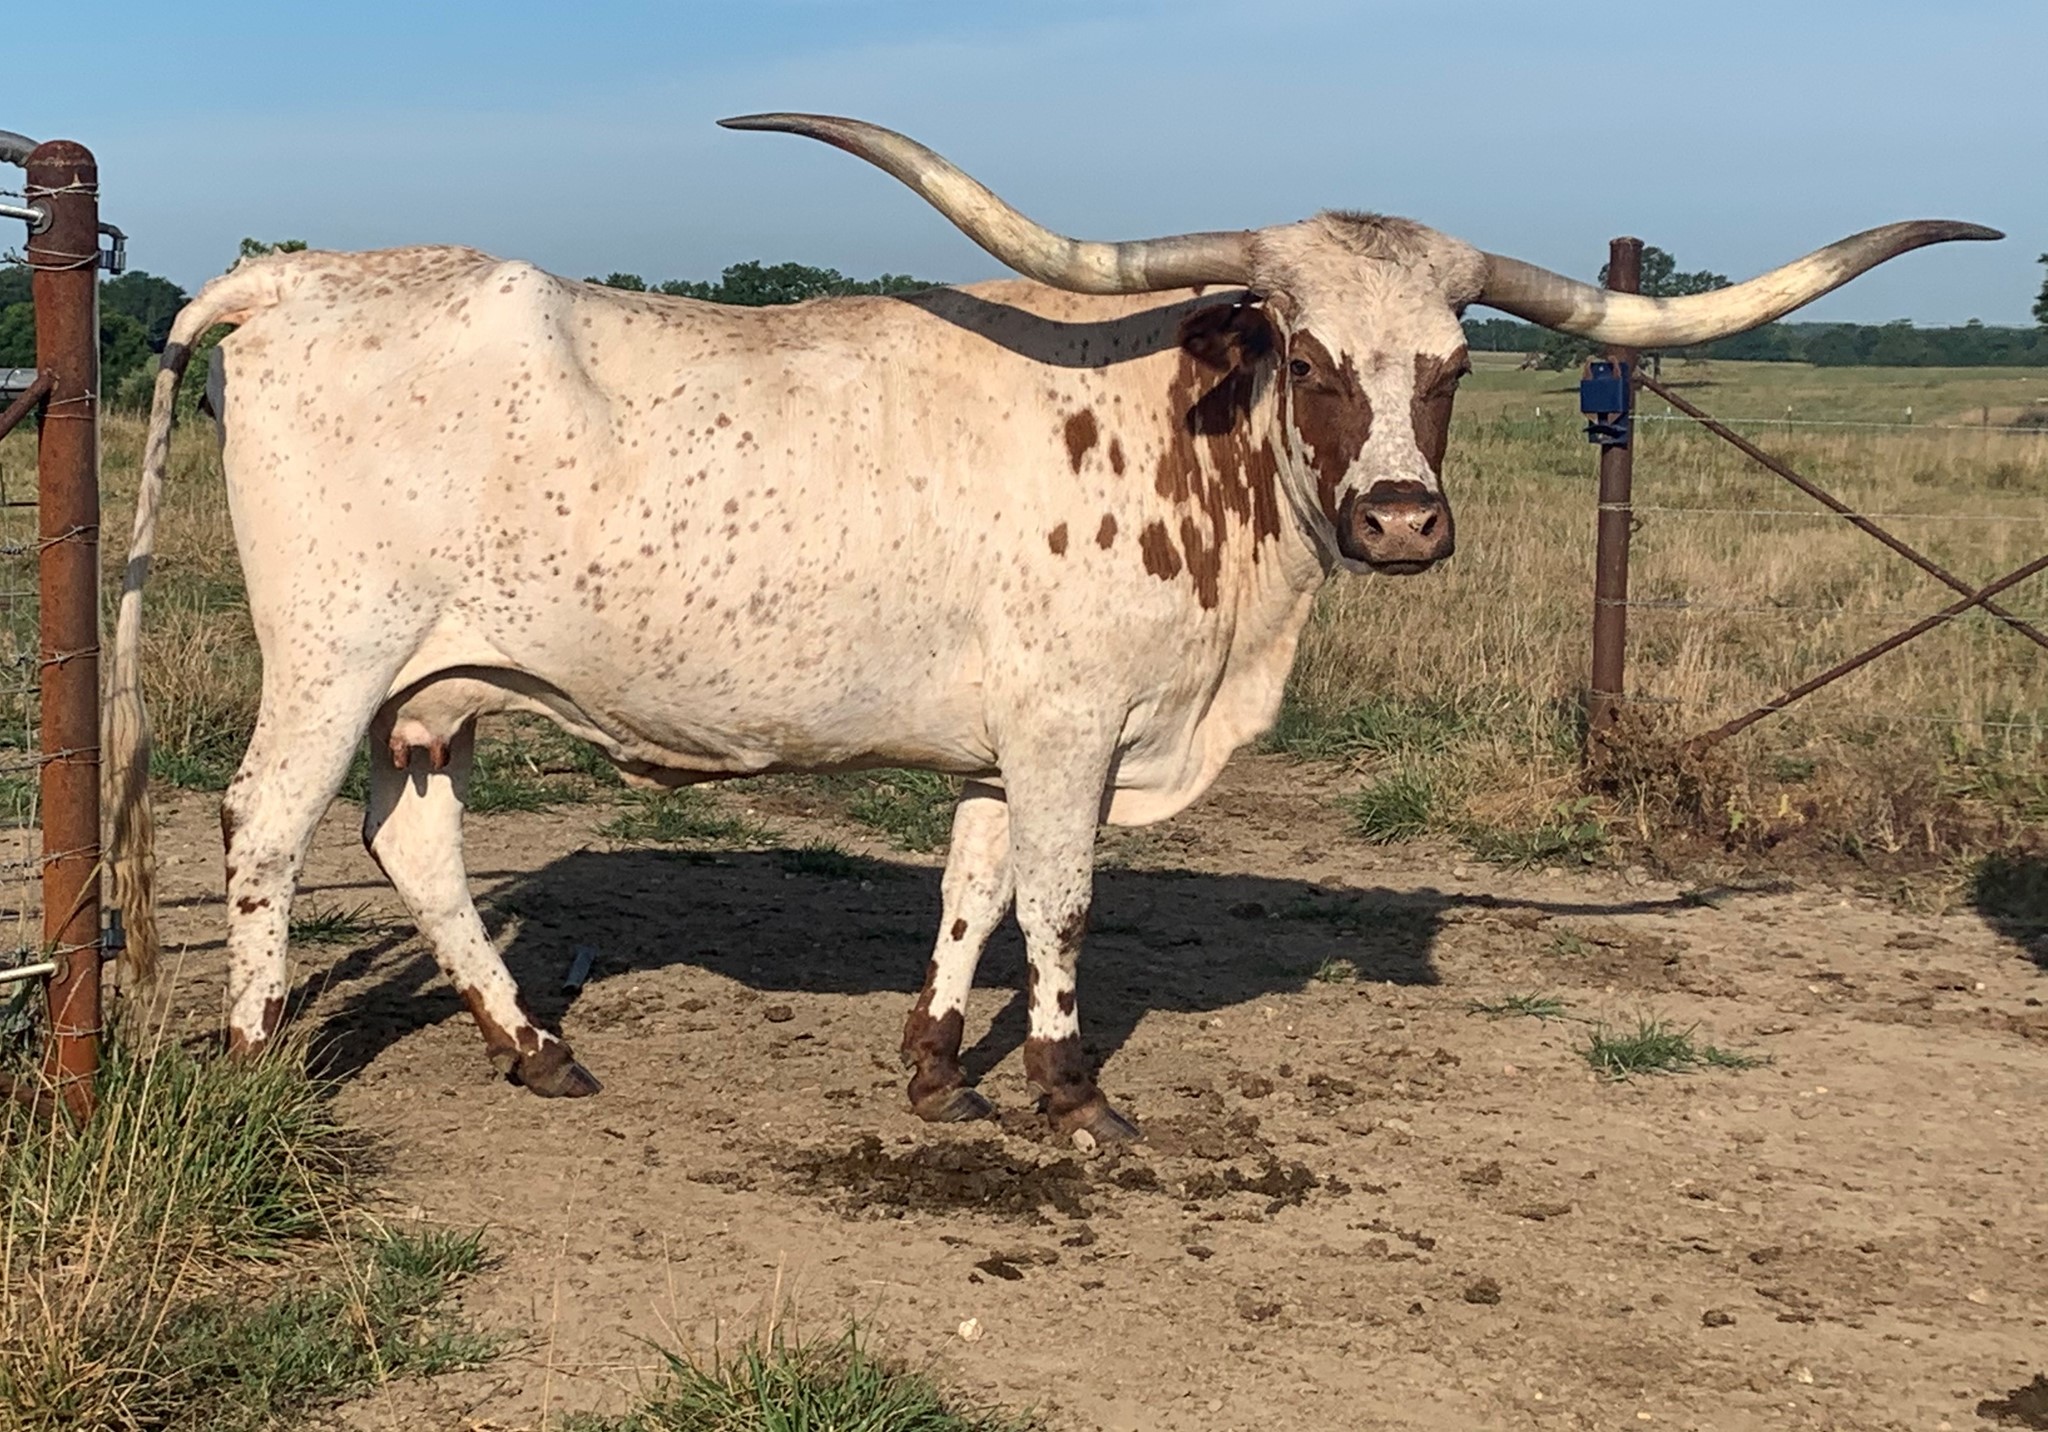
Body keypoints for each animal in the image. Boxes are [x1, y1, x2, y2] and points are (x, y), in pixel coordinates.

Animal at [103, 113, 1997, 1144]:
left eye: (1454, 362)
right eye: (1306, 353)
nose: (1402, 520)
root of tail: (288, 277)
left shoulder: (1008, 733)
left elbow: (973, 882)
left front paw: (941, 1070)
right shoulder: (1082, 724)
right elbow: (1067, 900)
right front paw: (1074, 1092)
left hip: (440, 681)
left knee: (412, 837)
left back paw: (533, 1045)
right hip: (336, 653)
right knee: (266, 829)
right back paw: (258, 1062)